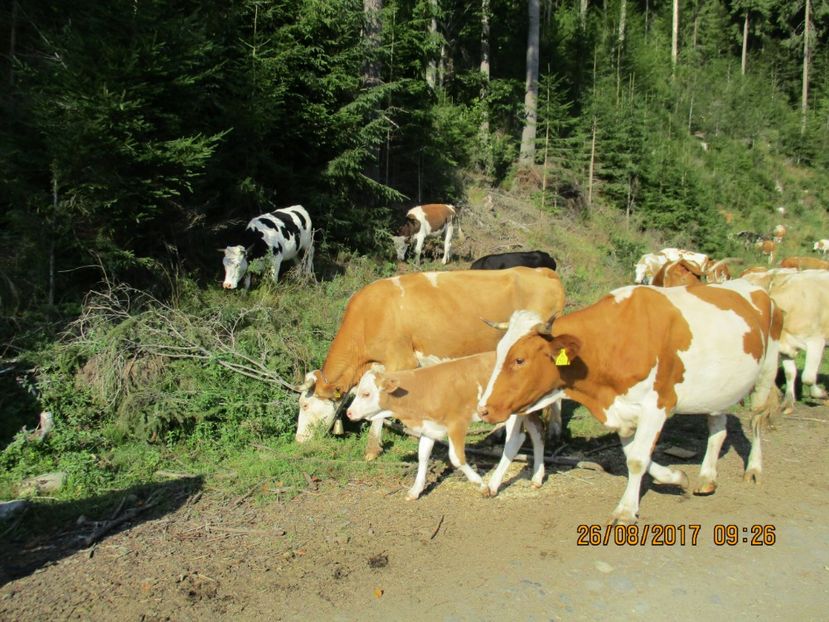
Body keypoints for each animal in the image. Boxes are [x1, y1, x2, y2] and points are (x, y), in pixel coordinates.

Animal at [294, 266, 568, 460]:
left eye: (305, 406)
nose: (298, 440)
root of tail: (542, 272)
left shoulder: (400, 359)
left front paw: (372, 449)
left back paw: (549, 434)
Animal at [344, 354, 548, 500]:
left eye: (366, 393)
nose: (349, 413)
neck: (424, 390)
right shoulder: (429, 427)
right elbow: (423, 455)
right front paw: (415, 490)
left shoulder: (457, 423)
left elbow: (456, 458)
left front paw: (480, 484)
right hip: (527, 410)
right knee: (538, 432)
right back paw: (537, 478)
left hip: (512, 412)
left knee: (515, 441)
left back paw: (493, 485)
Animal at [476, 282, 780, 528]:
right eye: (499, 352)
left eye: (519, 360)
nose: (484, 409)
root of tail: (756, 286)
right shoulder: (621, 410)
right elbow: (635, 454)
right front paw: (675, 476)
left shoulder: (656, 406)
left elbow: (636, 460)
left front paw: (625, 510)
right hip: (717, 390)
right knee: (718, 426)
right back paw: (706, 477)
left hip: (767, 370)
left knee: (755, 420)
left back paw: (754, 469)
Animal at [740, 270, 828, 412]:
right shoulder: (784, 349)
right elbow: (790, 373)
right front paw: (788, 401)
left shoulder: (816, 341)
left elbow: (808, 377)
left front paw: (822, 395)